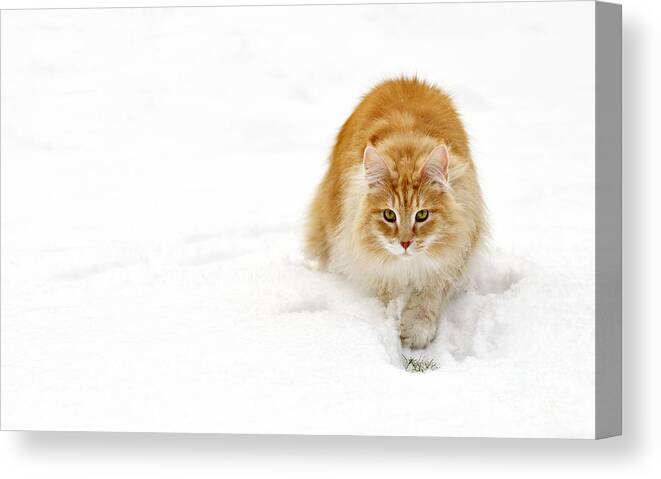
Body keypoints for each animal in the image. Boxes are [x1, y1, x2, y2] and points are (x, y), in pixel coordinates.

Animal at [304, 78, 484, 348]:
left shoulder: (450, 259)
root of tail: (403, 79)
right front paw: (395, 323)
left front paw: (416, 329)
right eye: (389, 215)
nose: (405, 242)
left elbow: (428, 295)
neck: (406, 152)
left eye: (422, 215)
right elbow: (390, 294)